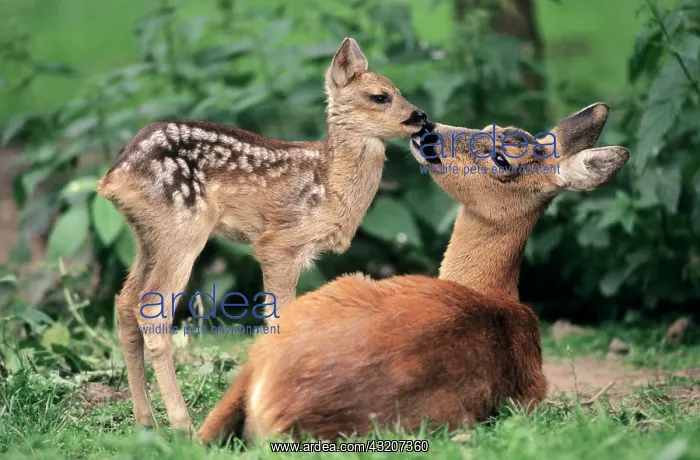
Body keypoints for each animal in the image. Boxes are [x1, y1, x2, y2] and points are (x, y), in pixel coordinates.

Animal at [96, 37, 428, 435]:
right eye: (380, 96)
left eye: (398, 89)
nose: (420, 117)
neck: (330, 185)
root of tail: (113, 178)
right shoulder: (278, 242)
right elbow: (280, 317)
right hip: (183, 229)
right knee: (151, 309)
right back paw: (182, 425)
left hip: (146, 236)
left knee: (125, 302)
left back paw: (146, 422)